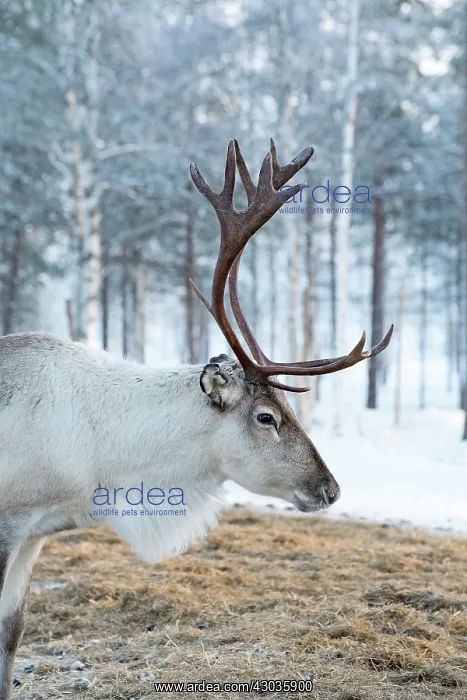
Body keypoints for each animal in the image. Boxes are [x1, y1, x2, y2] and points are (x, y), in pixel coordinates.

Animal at [0, 139, 393, 699]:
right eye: (267, 417)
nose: (330, 488)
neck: (101, 458)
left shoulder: (34, 532)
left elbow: (13, 632)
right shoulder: (8, 522)